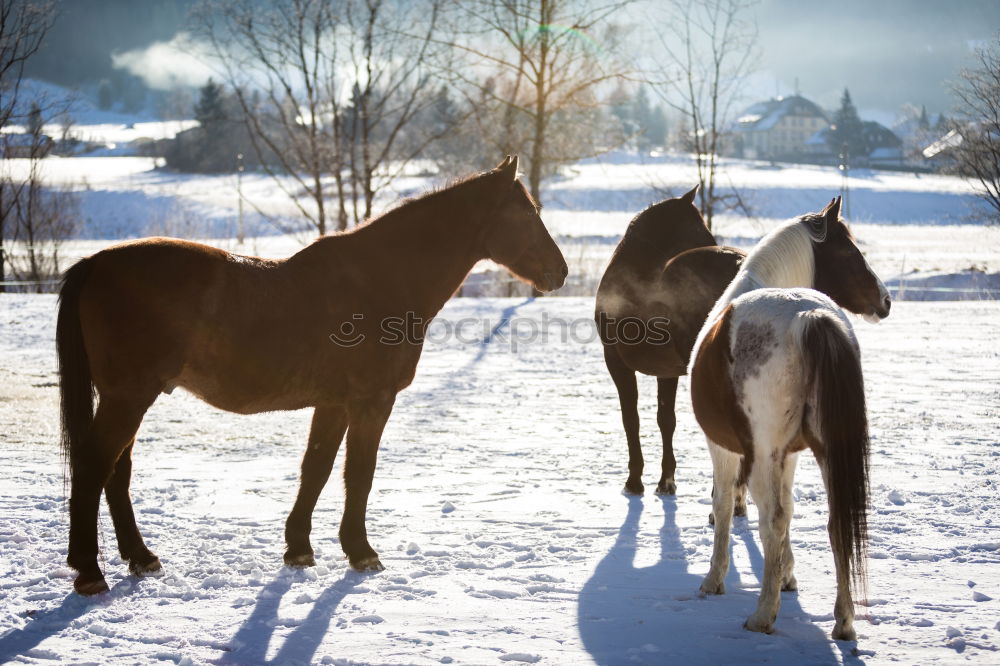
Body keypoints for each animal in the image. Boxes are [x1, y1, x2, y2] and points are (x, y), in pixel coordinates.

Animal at [58, 157, 568, 596]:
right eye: (527, 213)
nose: (559, 272)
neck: (381, 280)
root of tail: (95, 264)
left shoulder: (333, 403)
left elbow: (316, 469)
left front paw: (299, 548)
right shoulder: (371, 402)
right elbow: (359, 473)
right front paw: (361, 552)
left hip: (129, 398)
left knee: (116, 471)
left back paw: (140, 557)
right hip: (129, 397)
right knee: (94, 466)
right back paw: (89, 572)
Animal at [592, 184, 744, 496]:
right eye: (698, 228)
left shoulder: (616, 362)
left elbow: (631, 419)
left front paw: (634, 480)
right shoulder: (667, 371)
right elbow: (666, 420)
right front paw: (666, 480)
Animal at [688, 197, 892, 640]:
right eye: (850, 253)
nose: (886, 300)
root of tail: (808, 316)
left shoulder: (723, 449)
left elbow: (725, 505)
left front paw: (714, 580)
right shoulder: (792, 455)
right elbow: (791, 507)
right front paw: (787, 575)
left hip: (762, 455)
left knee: (772, 520)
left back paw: (763, 616)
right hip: (826, 453)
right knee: (836, 523)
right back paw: (843, 622)